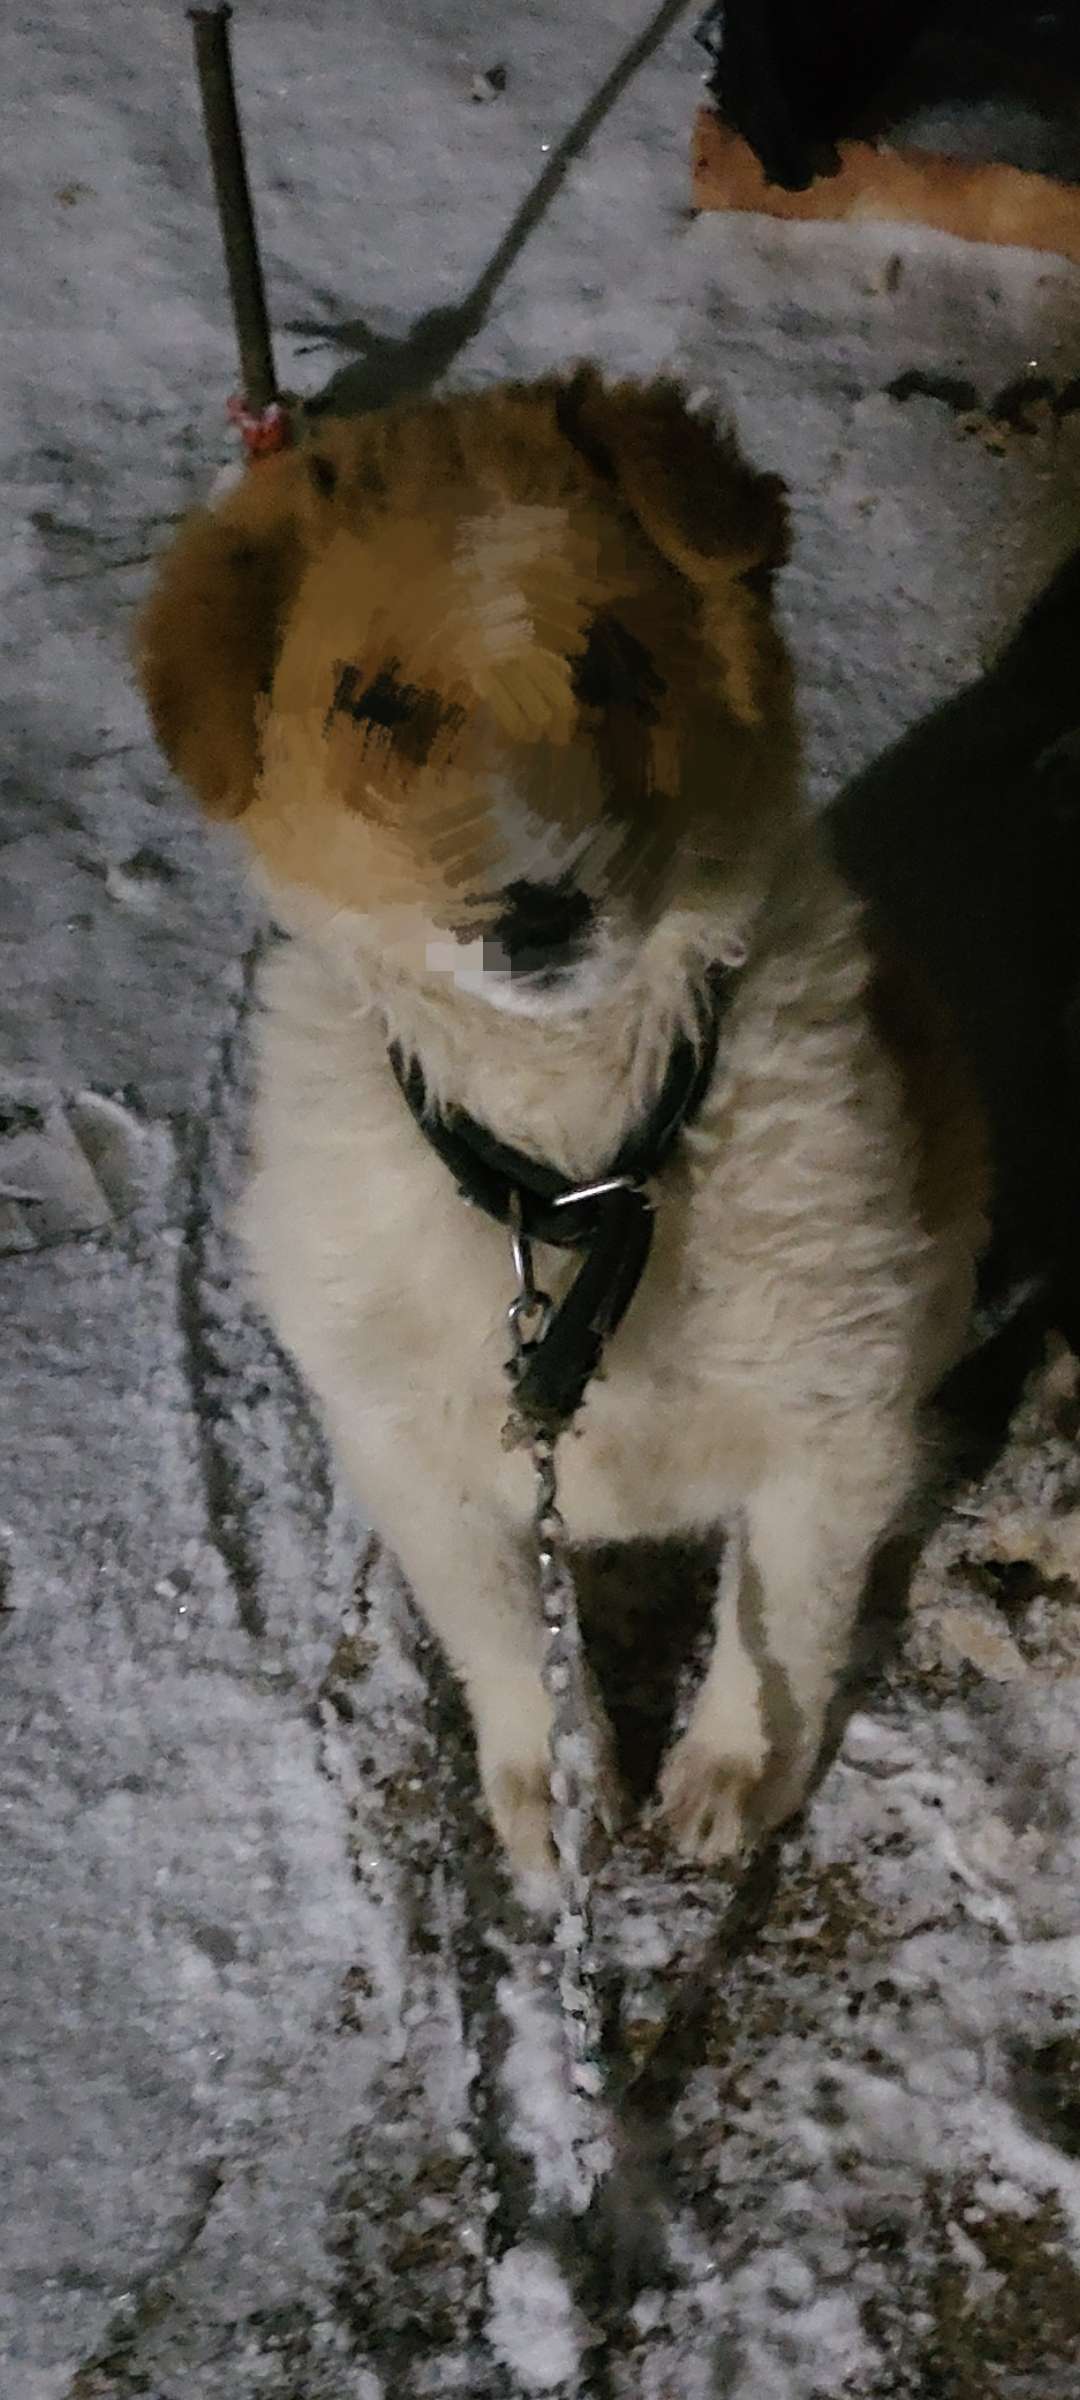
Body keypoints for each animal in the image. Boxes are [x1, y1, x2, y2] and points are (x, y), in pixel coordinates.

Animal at [136, 368, 987, 1880]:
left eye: (616, 662)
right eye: (373, 702)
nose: (538, 916)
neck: (576, 1174)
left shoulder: (829, 1419)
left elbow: (783, 1619)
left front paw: (731, 1768)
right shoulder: (418, 1454)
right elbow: (497, 1634)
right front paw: (552, 1789)